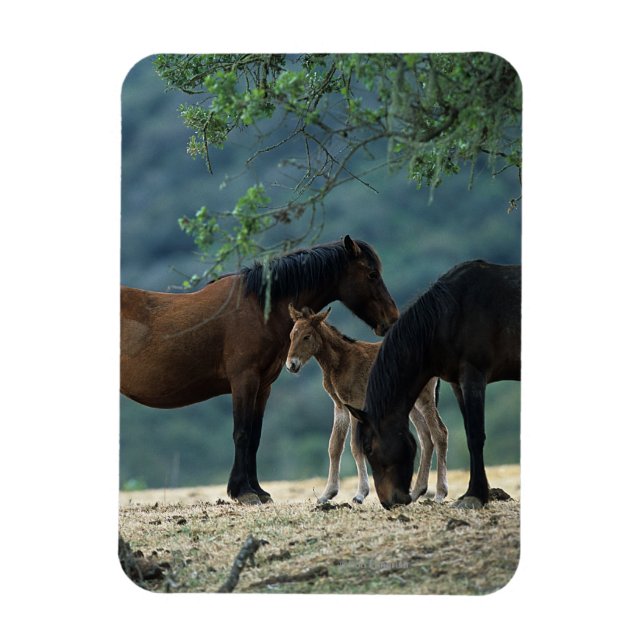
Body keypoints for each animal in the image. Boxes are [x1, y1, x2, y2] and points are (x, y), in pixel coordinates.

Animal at [120, 236, 399, 505]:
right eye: (372, 274)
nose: (392, 319)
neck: (259, 308)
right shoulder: (244, 380)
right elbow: (242, 433)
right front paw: (243, 492)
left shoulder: (263, 386)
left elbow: (255, 437)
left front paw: (257, 490)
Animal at [285, 305, 448, 504]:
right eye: (291, 335)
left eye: (307, 336)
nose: (291, 365)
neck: (339, 362)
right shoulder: (340, 407)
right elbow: (334, 446)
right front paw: (327, 494)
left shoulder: (356, 404)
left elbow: (355, 446)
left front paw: (360, 494)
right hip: (412, 404)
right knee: (426, 437)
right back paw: (417, 491)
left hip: (424, 398)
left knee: (439, 433)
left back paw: (440, 493)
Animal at [346, 260, 520, 510]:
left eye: (368, 447)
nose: (389, 502)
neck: (450, 315)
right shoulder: (458, 384)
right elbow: (468, 433)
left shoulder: (473, 378)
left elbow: (475, 436)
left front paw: (475, 495)